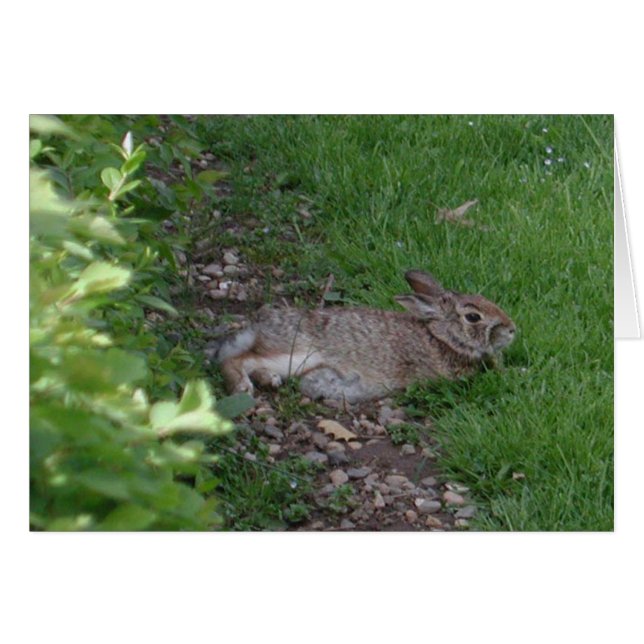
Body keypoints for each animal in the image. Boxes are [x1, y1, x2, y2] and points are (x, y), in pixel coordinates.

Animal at [217, 270, 516, 403]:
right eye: (473, 317)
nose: (512, 330)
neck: (441, 337)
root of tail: (259, 325)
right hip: (296, 352)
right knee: (235, 359)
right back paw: (243, 388)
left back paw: (270, 380)